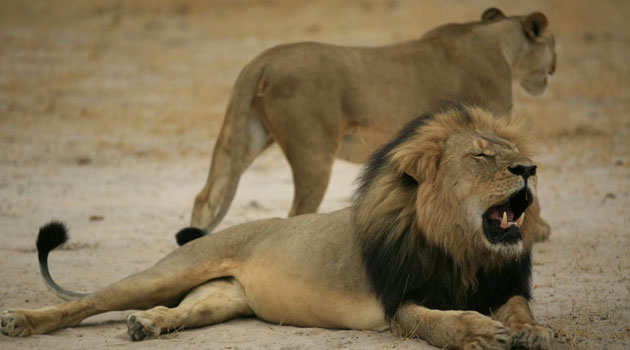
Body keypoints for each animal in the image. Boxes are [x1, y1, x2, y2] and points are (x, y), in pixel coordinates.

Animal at [0, 106, 552, 350]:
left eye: (513, 153)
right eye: (482, 157)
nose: (529, 168)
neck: (464, 249)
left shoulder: (502, 283)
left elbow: (520, 308)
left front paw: (531, 332)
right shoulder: (400, 302)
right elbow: (439, 323)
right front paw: (479, 331)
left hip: (221, 298)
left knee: (180, 310)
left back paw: (147, 325)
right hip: (170, 271)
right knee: (85, 303)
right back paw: (21, 321)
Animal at [191, 8, 556, 241]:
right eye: (552, 46)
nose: (552, 70)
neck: (500, 44)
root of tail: (261, 60)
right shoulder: (488, 128)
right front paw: (536, 230)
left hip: (245, 136)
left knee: (206, 195)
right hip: (313, 152)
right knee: (296, 213)